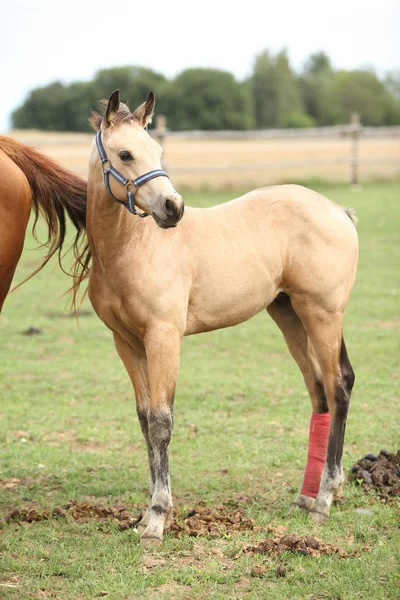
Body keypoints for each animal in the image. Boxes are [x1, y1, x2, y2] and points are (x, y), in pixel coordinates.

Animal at [83, 91, 358, 548]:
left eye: (157, 150)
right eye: (125, 154)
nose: (173, 208)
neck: (132, 249)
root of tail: (338, 210)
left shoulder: (164, 337)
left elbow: (161, 421)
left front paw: (157, 519)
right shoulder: (127, 342)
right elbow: (144, 419)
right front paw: (146, 515)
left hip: (323, 313)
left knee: (338, 388)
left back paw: (324, 499)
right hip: (290, 314)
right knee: (320, 390)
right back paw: (305, 498)